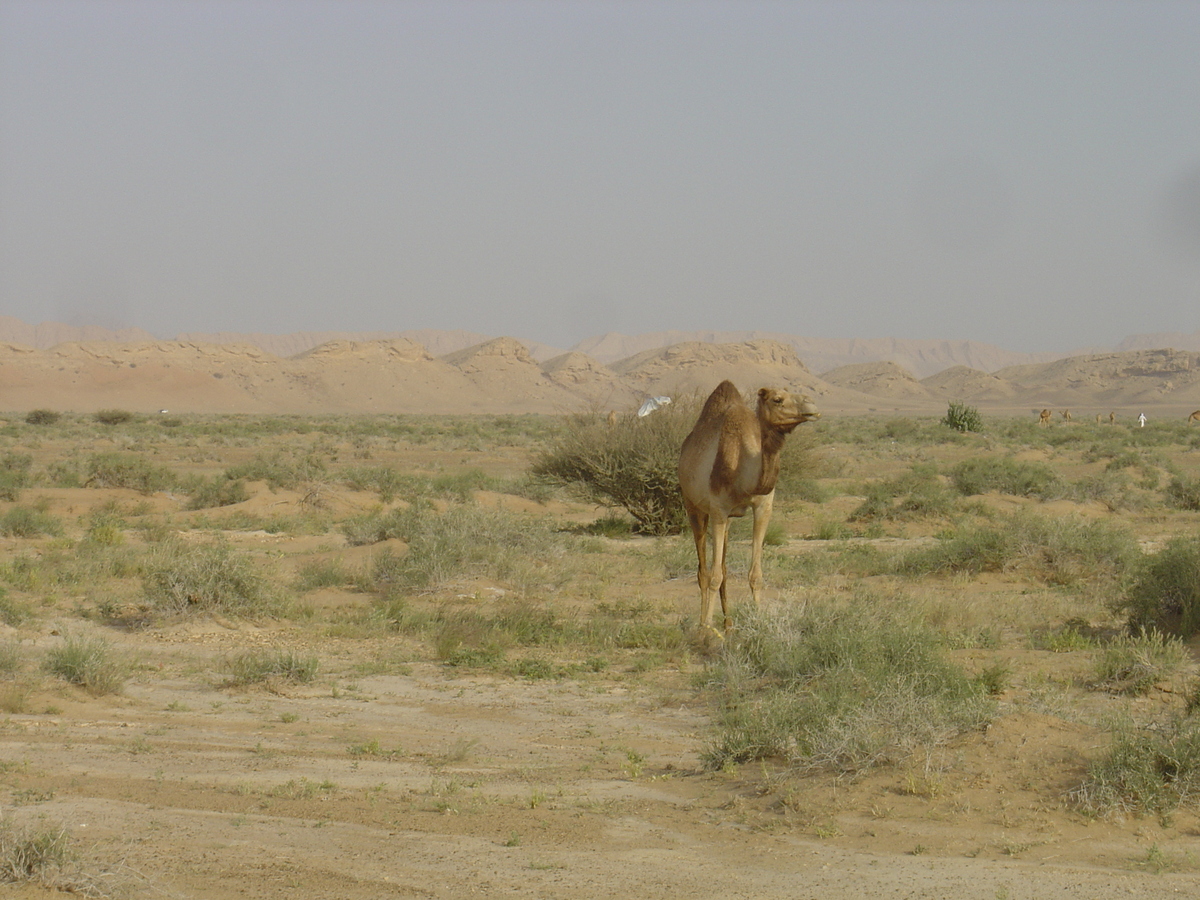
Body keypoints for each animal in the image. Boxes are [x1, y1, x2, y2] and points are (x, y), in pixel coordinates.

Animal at [681, 379, 820, 633]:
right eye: (777, 399)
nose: (811, 405)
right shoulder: (718, 510)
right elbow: (713, 576)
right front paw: (707, 629)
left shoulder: (763, 507)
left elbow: (755, 574)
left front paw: (758, 620)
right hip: (693, 506)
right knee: (703, 571)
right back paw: (703, 624)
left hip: (726, 521)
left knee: (724, 567)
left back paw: (727, 622)